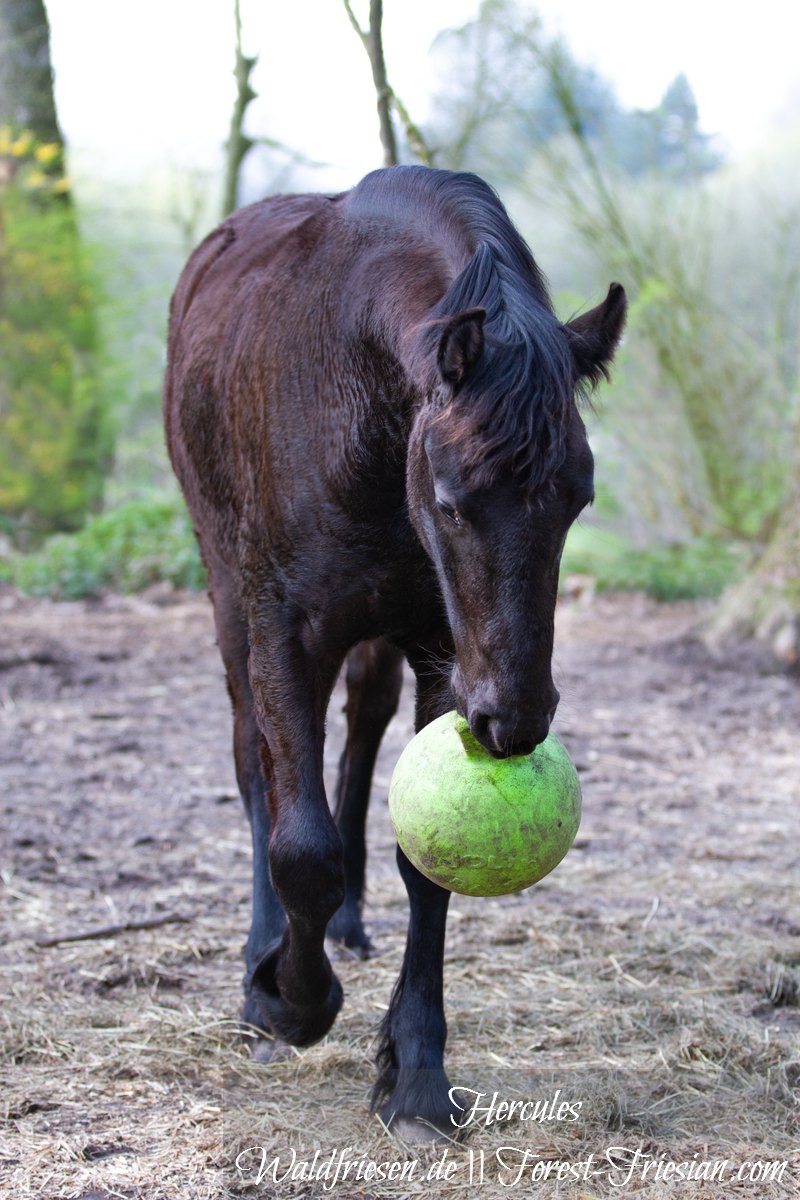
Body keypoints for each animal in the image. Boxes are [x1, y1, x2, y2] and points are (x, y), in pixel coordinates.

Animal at [164, 166, 623, 1132]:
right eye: (452, 498)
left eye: (577, 499)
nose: (516, 720)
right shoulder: (283, 631)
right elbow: (299, 846)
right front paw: (289, 1001)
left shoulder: (446, 653)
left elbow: (428, 865)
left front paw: (414, 1072)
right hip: (226, 595)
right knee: (254, 766)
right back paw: (268, 965)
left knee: (363, 730)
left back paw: (345, 927)